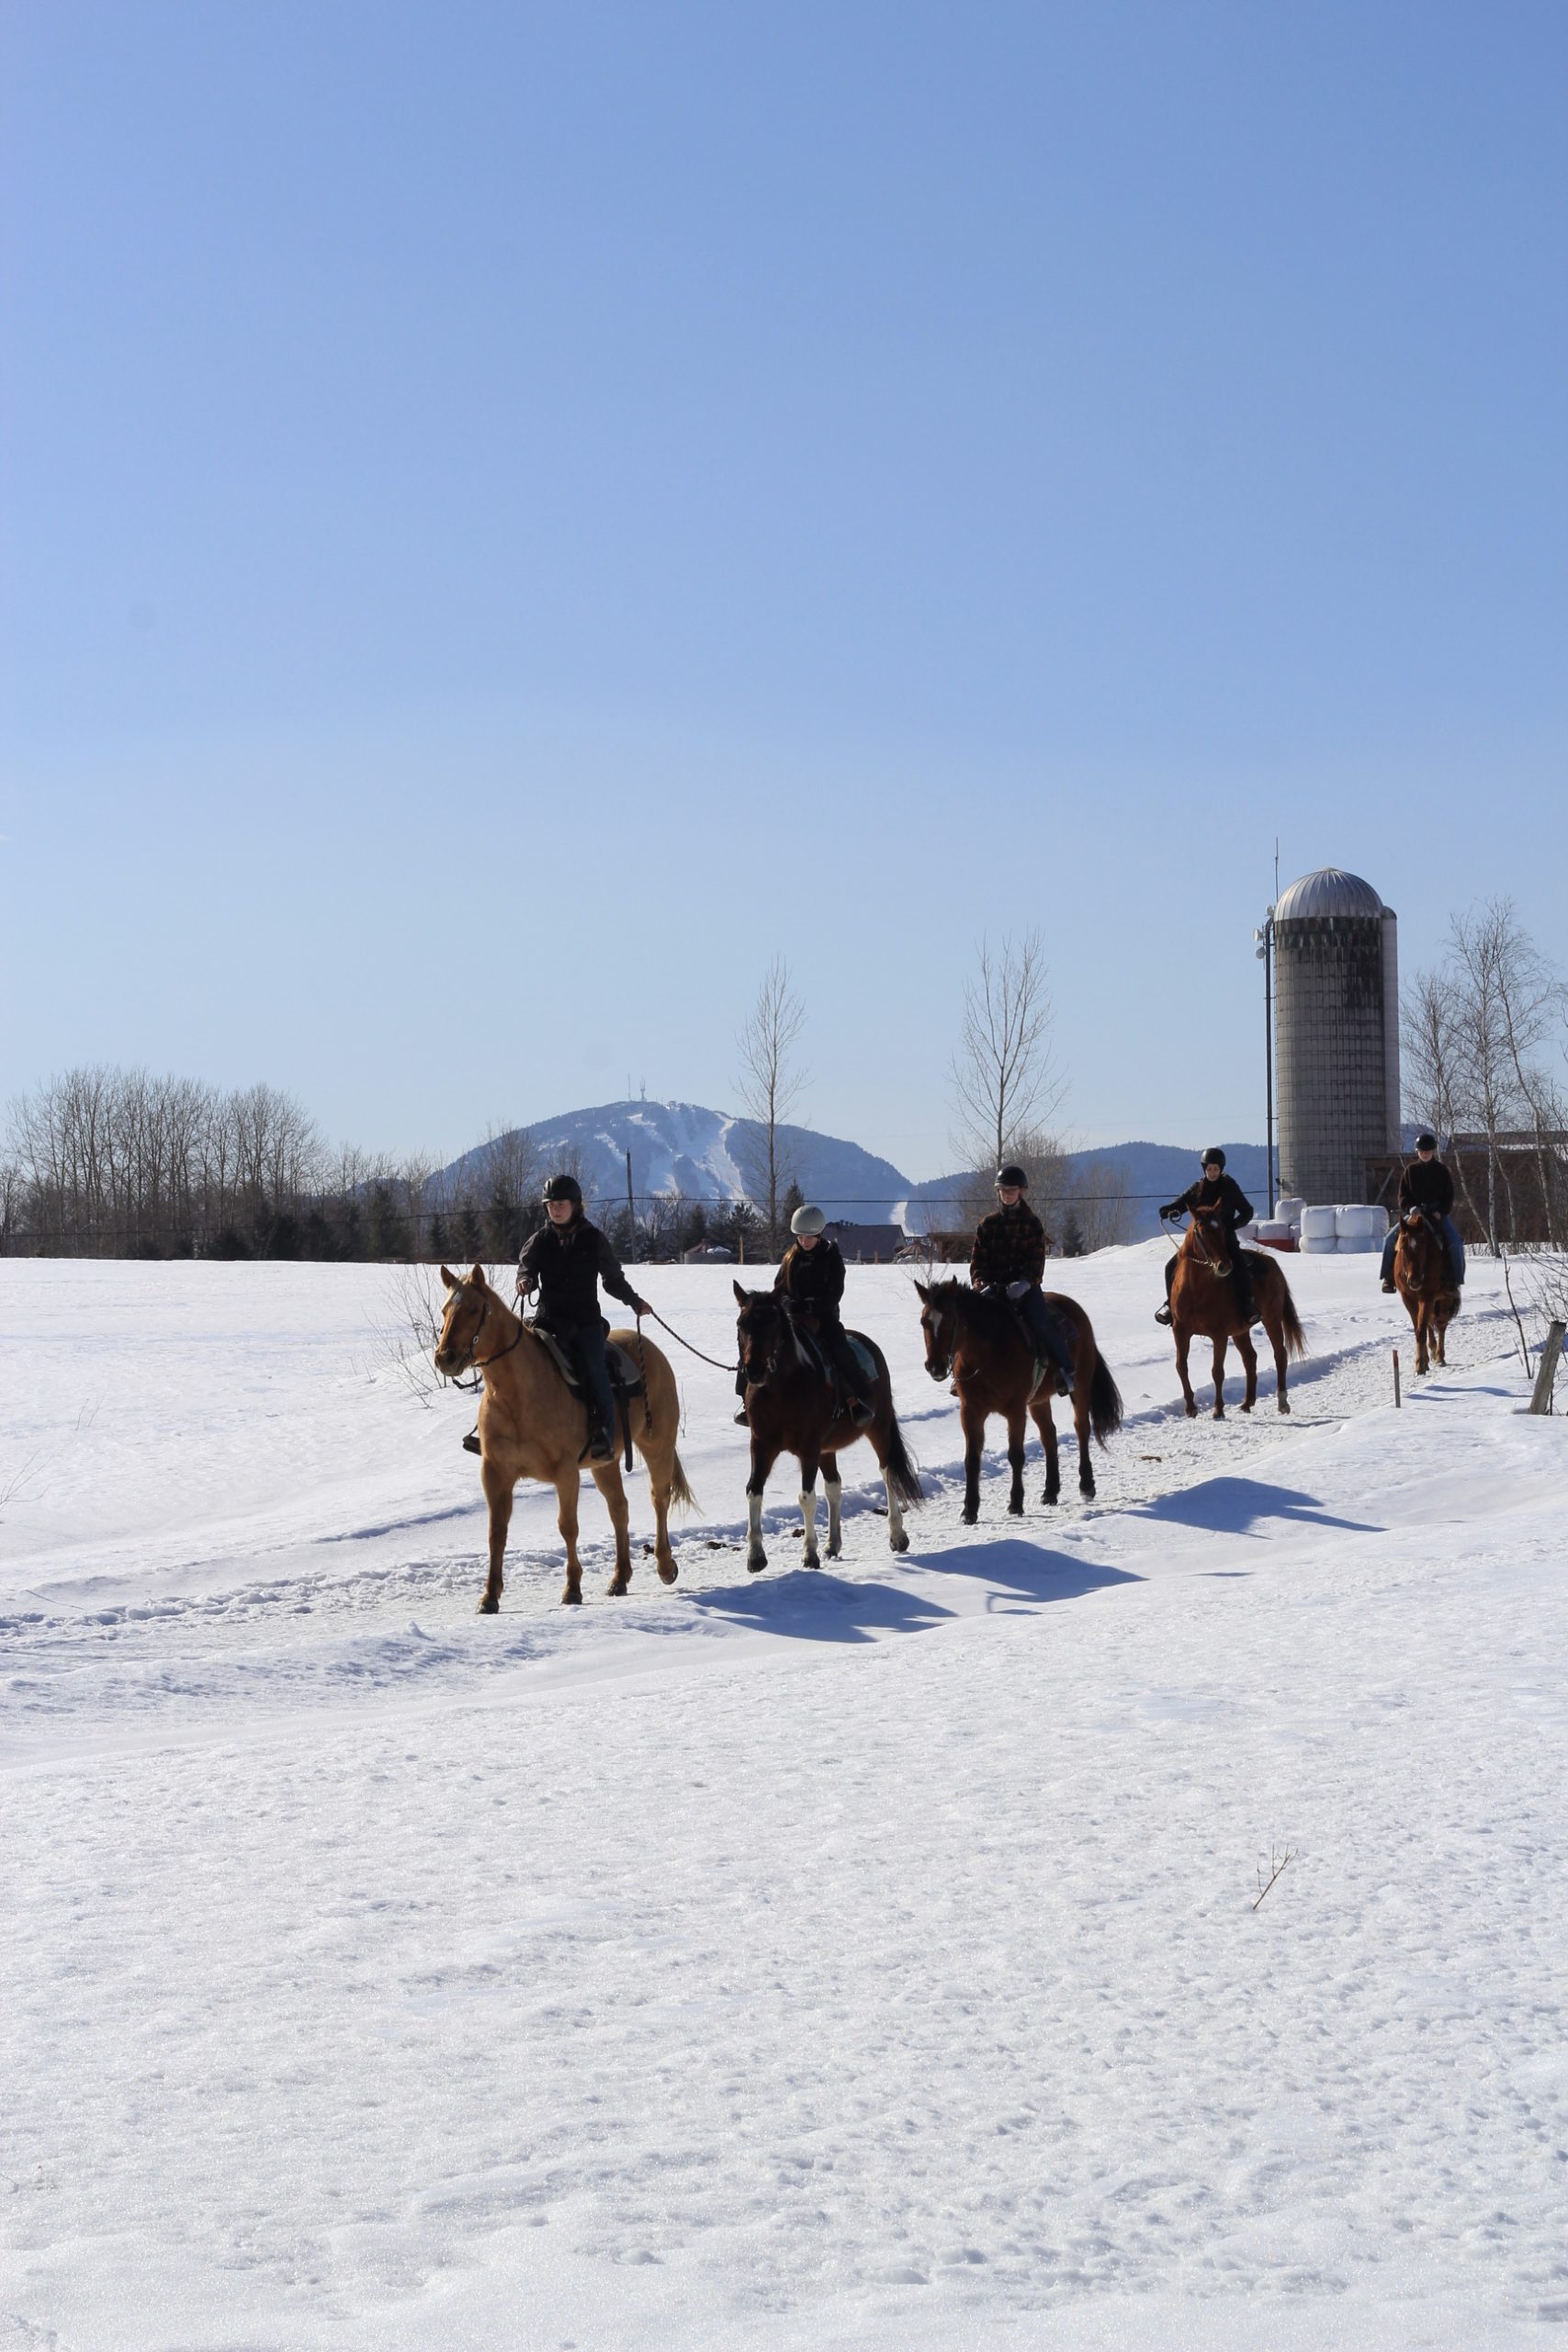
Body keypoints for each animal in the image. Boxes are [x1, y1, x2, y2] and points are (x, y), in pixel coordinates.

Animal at [435, 1265, 695, 1610]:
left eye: (474, 1309)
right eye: (445, 1310)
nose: (444, 1358)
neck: (519, 1394)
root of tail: (651, 1350)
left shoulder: (566, 1473)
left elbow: (567, 1526)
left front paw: (572, 1588)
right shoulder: (495, 1473)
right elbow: (496, 1532)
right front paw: (490, 1596)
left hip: (658, 1446)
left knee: (659, 1497)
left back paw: (665, 1566)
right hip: (605, 1463)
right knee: (619, 1508)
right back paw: (620, 1578)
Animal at [733, 1284, 923, 1572]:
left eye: (773, 1323)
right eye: (741, 1323)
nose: (753, 1370)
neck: (782, 1390)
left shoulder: (809, 1448)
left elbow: (806, 1498)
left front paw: (809, 1554)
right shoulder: (761, 1444)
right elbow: (753, 1492)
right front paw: (755, 1555)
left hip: (877, 1428)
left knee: (888, 1471)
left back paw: (897, 1536)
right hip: (827, 1449)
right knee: (834, 1486)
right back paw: (833, 1543)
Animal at [915, 1279, 1123, 1519]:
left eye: (950, 1319)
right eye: (923, 1321)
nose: (935, 1366)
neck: (988, 1355)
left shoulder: (1015, 1410)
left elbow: (1015, 1455)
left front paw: (1015, 1504)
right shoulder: (970, 1411)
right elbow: (972, 1460)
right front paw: (969, 1510)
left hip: (1080, 1387)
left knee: (1081, 1428)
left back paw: (1086, 1485)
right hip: (1038, 1402)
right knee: (1049, 1435)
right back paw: (1050, 1492)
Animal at [1166, 1209, 1306, 1418]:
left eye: (1223, 1230)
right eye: (1202, 1231)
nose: (1223, 1265)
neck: (1196, 1288)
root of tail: (1272, 1263)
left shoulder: (1219, 1335)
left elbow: (1217, 1371)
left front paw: (1218, 1409)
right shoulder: (1181, 1331)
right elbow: (1181, 1366)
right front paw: (1190, 1408)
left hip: (1272, 1319)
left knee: (1279, 1354)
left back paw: (1282, 1401)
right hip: (1241, 1331)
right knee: (1250, 1358)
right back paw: (1247, 1402)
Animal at [1394, 1209, 1459, 1375]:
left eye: (1423, 1245)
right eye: (1402, 1246)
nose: (1414, 1282)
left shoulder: (1427, 1296)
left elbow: (1421, 1329)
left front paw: (1420, 1365)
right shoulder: (1408, 1299)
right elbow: (1418, 1328)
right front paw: (1422, 1362)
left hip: (1443, 1300)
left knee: (1441, 1324)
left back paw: (1440, 1356)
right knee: (1431, 1322)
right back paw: (1432, 1352)